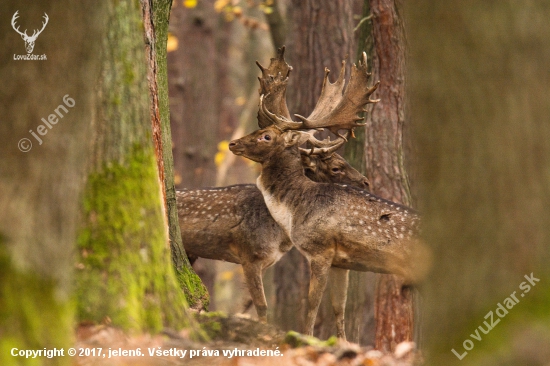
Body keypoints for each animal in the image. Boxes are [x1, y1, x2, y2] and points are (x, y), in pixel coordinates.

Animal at [229, 50, 432, 338]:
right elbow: (339, 308)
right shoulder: (341, 262)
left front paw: (307, 337)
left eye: (266, 136)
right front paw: (343, 342)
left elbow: (312, 306)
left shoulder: (320, 250)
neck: (294, 209)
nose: (233, 143)